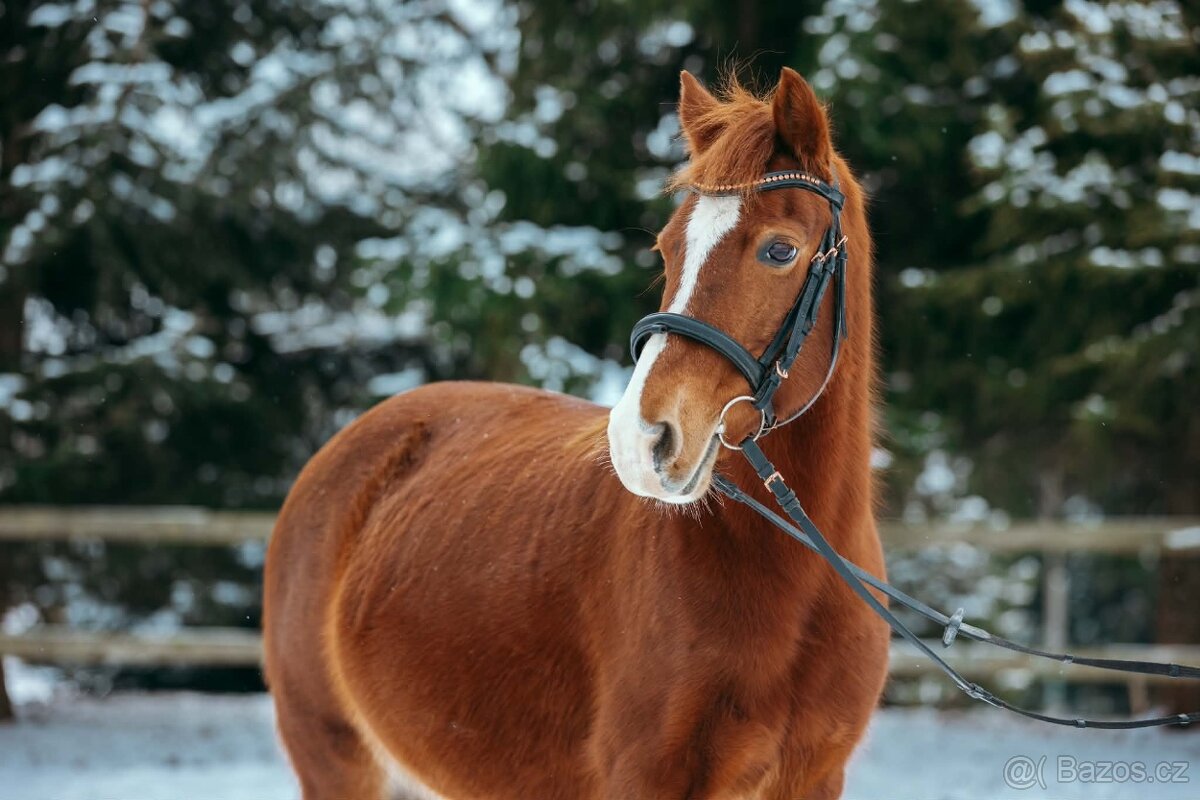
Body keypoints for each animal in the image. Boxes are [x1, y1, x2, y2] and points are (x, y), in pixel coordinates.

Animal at [263, 67, 889, 800]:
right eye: (667, 248)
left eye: (780, 249)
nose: (641, 442)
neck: (796, 575)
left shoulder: (814, 777)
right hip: (336, 759)